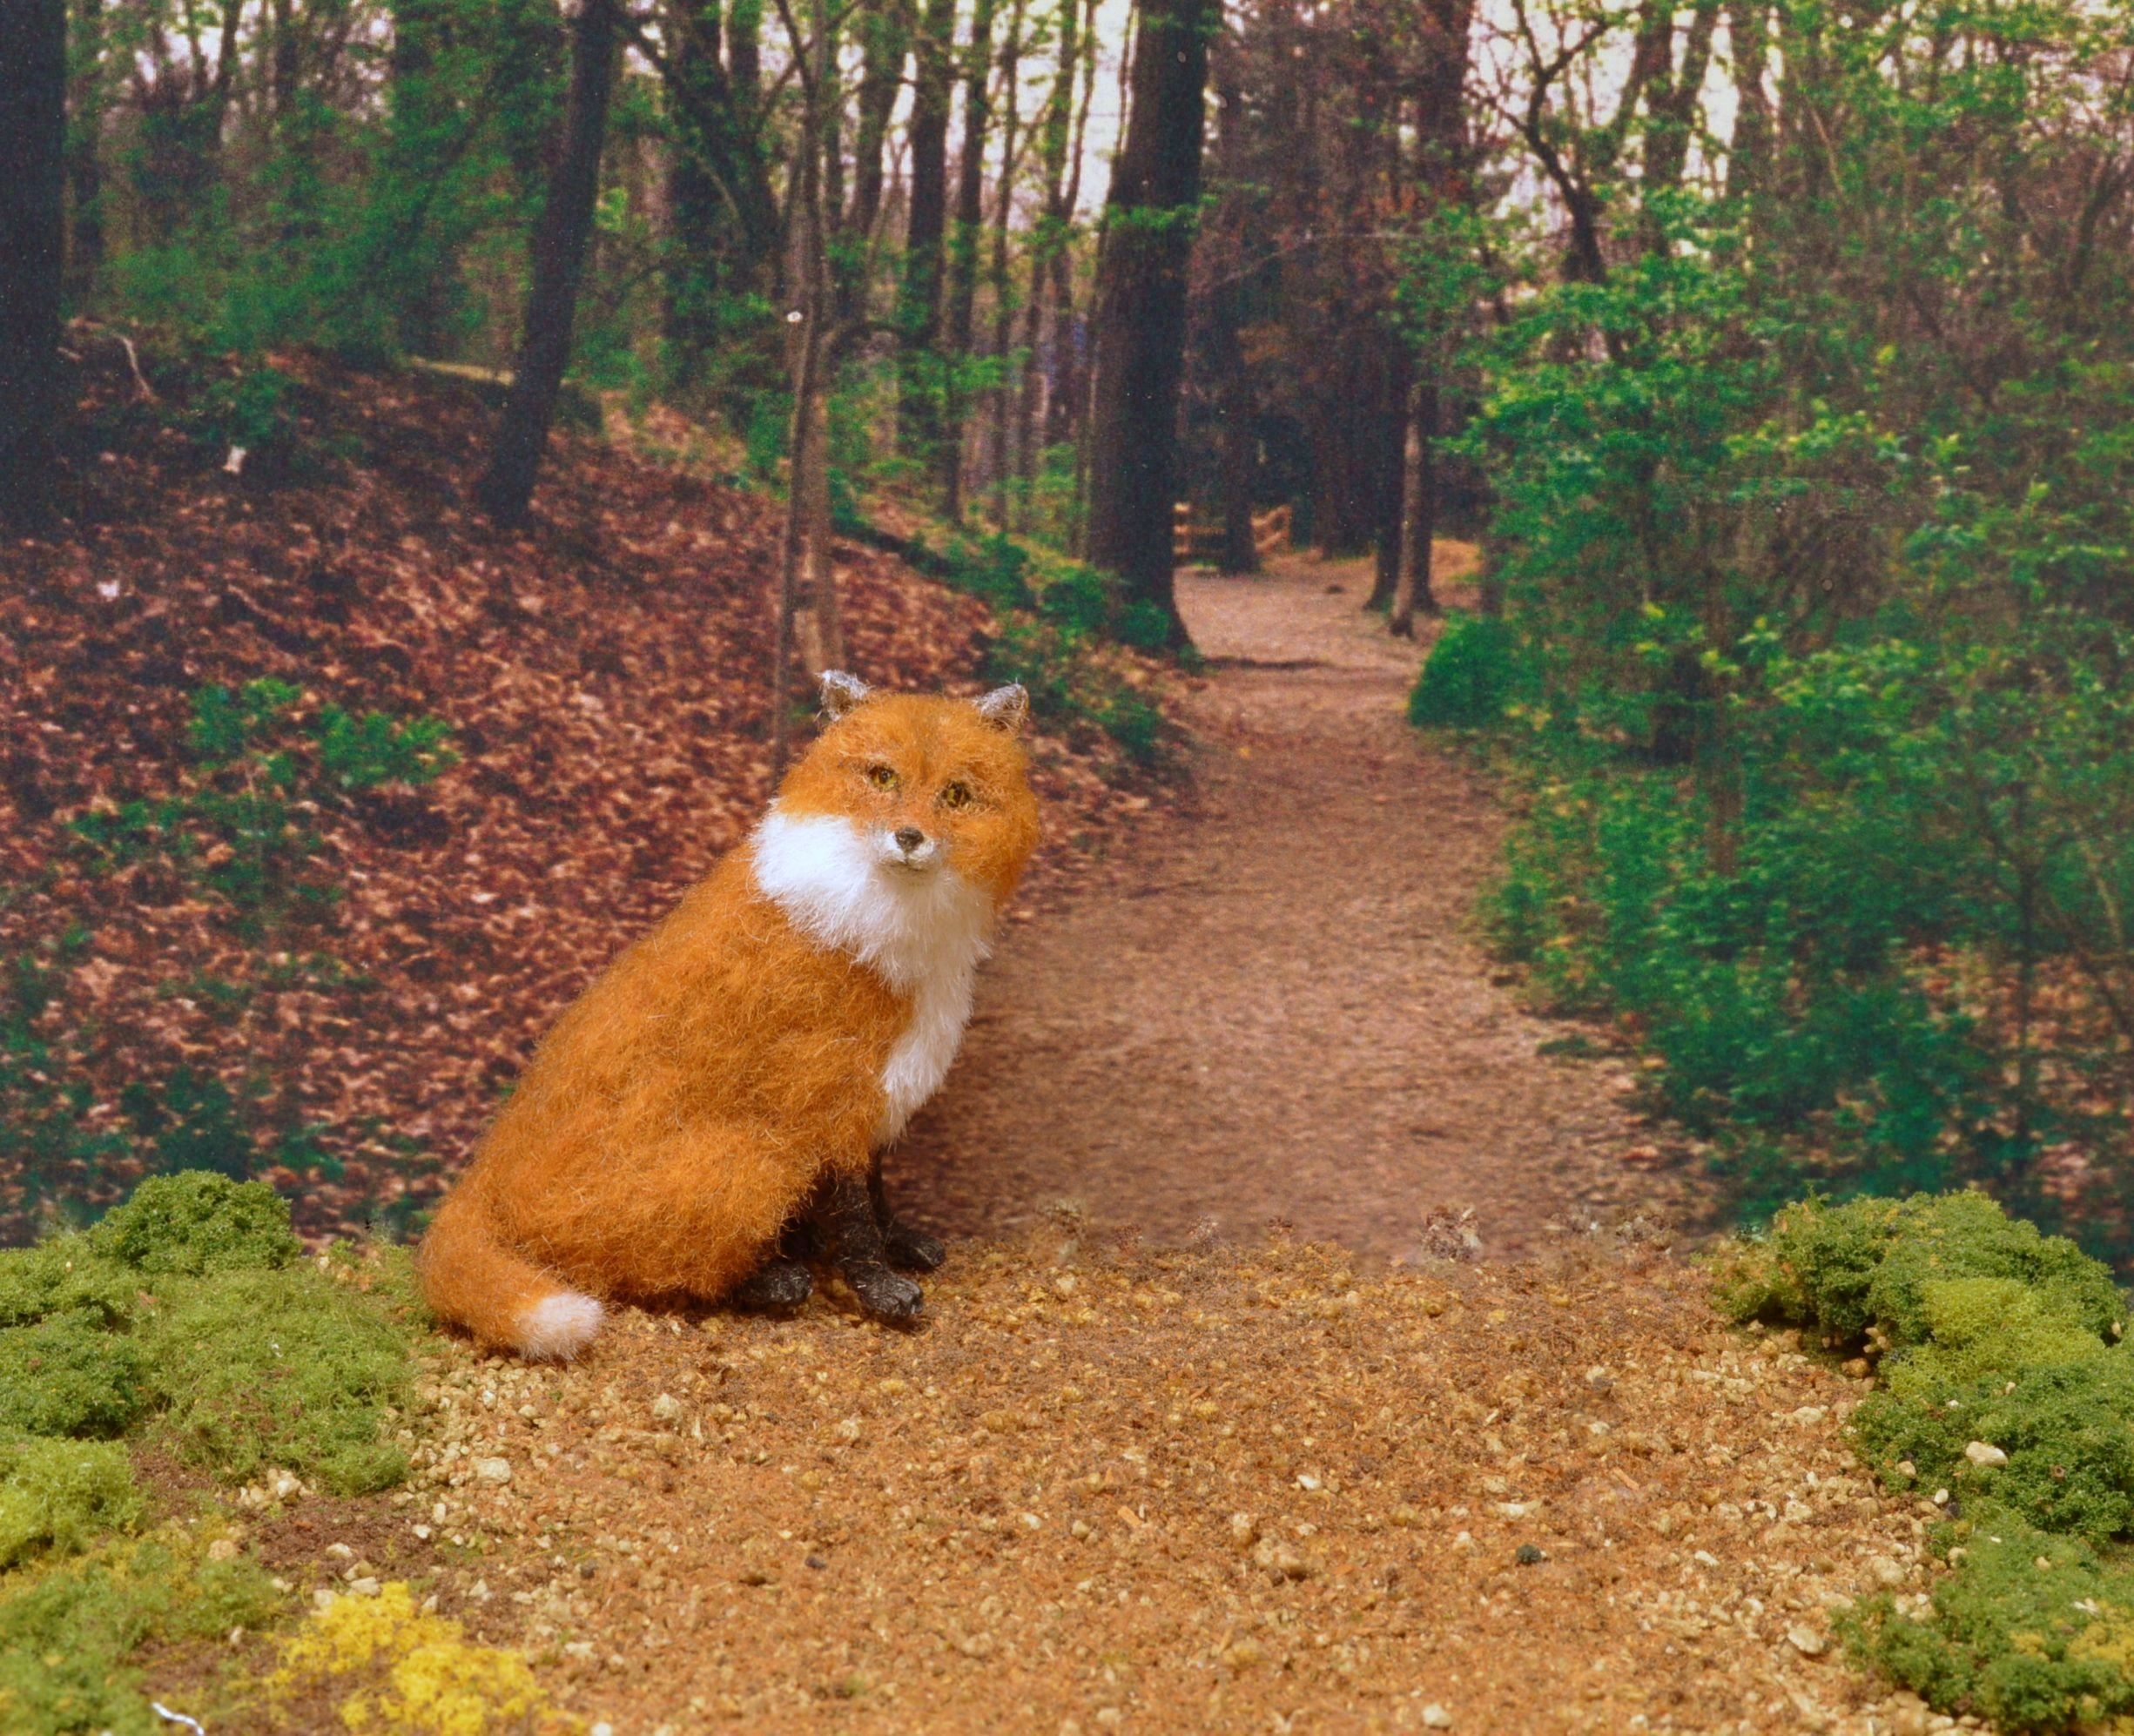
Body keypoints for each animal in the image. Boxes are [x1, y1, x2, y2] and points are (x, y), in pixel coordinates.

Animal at [412, 674, 1037, 1364]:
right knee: (650, 1273)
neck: (881, 939)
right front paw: (880, 1292)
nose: (908, 837)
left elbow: (878, 1196)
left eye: (956, 794)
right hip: (751, 1161)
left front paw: (903, 1242)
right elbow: (854, 1223)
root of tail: (482, 1178)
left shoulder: (876, 1099)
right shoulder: (824, 1102)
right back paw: (772, 1279)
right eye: (882, 777)